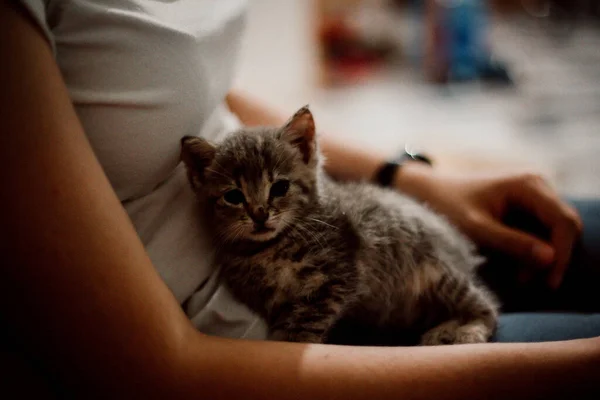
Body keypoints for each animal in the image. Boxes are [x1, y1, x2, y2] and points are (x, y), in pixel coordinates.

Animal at [180, 106, 500, 344]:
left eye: (280, 187)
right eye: (233, 196)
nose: (260, 215)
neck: (269, 250)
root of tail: (461, 248)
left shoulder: (337, 277)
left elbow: (302, 330)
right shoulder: (272, 300)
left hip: (436, 272)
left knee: (488, 307)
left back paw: (465, 331)